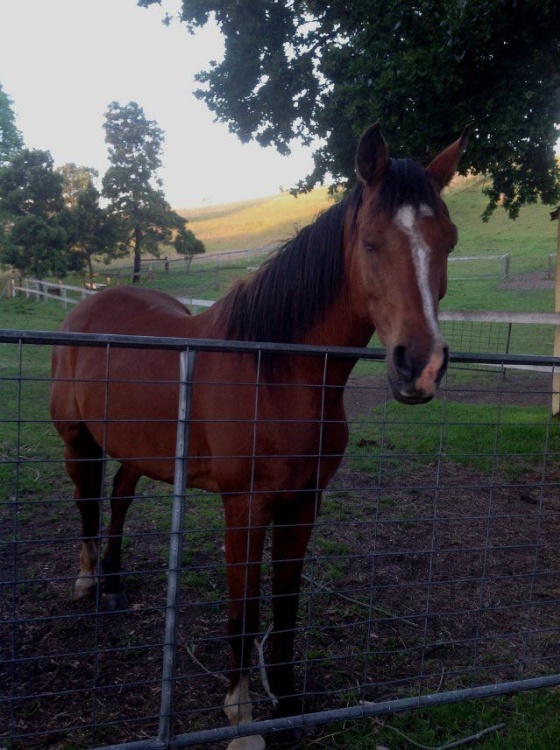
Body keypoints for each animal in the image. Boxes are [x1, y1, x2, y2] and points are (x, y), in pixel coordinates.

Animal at [50, 123, 467, 750]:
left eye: (449, 241)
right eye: (370, 242)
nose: (419, 365)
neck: (278, 372)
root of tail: (88, 305)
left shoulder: (302, 505)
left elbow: (286, 605)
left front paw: (288, 708)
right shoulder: (245, 509)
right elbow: (243, 611)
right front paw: (242, 723)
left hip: (139, 447)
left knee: (119, 496)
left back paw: (116, 585)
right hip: (78, 440)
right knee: (87, 503)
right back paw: (86, 582)